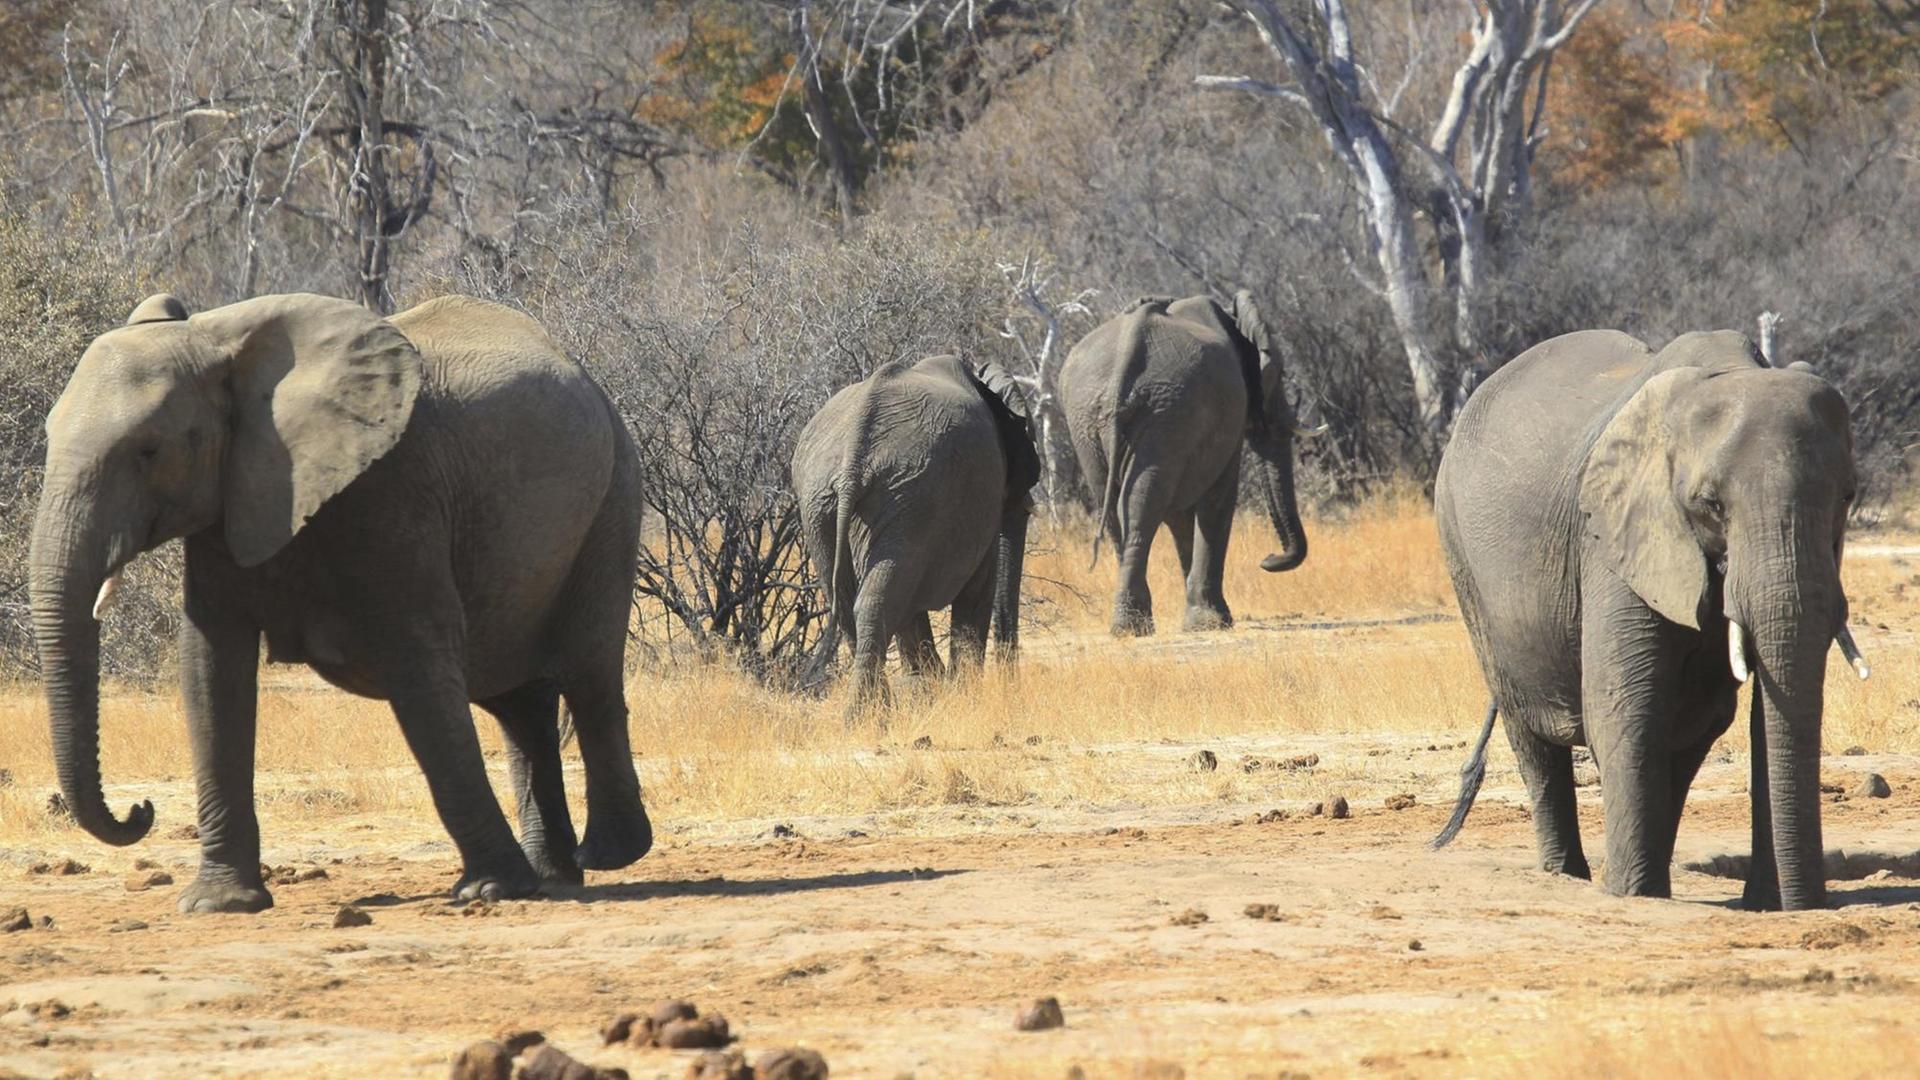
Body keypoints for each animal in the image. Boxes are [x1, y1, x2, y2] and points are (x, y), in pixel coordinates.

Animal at [30, 288, 652, 907]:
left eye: (149, 451)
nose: (141, 810)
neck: (216, 340)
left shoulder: (393, 488)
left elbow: (419, 665)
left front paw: (490, 889)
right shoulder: (230, 501)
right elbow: (210, 671)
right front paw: (219, 904)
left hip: (613, 495)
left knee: (588, 673)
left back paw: (605, 856)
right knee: (519, 703)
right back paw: (554, 876)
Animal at [791, 351, 1044, 707]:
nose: (1012, 689)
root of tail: (853, 457)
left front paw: (933, 685)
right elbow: (979, 586)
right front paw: (959, 692)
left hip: (830, 504)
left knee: (853, 600)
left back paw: (873, 710)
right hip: (908, 496)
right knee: (880, 598)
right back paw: (876, 709)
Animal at [1052, 290, 1320, 634]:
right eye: (1280, 374)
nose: (1268, 558)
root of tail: (1126, 355)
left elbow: (1179, 515)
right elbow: (1218, 498)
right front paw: (1213, 622)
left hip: (1092, 418)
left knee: (1112, 506)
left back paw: (1129, 625)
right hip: (1167, 411)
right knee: (1141, 506)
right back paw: (1135, 626)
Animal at [1436, 328, 1866, 907]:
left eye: (1847, 496)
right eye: (1710, 504)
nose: (1810, 904)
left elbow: (1758, 712)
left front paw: (1763, 906)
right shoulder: (1614, 535)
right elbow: (1625, 704)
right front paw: (1629, 895)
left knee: (1691, 726)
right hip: (1461, 555)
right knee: (1529, 729)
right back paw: (1569, 876)